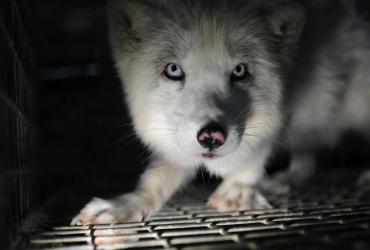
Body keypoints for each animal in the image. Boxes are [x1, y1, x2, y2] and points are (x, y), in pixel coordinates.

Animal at [71, 0, 370, 226]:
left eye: (239, 71)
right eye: (173, 70)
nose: (211, 136)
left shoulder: (286, 106)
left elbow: (257, 151)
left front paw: (239, 188)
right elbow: (157, 178)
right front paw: (128, 204)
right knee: (307, 158)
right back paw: (286, 179)